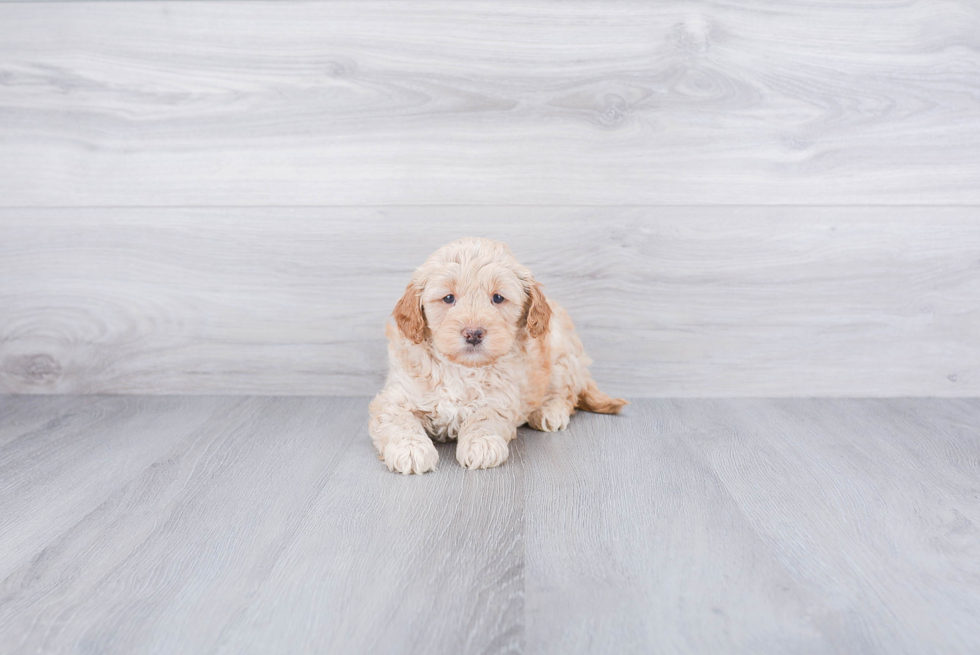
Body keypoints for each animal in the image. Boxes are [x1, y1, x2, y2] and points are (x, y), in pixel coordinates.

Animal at [368, 238, 628, 474]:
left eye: (498, 298)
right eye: (449, 298)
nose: (473, 333)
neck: (460, 369)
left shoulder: (500, 397)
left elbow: (485, 416)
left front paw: (481, 444)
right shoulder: (396, 397)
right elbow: (399, 420)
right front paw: (410, 449)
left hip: (560, 357)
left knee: (566, 393)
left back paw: (549, 412)